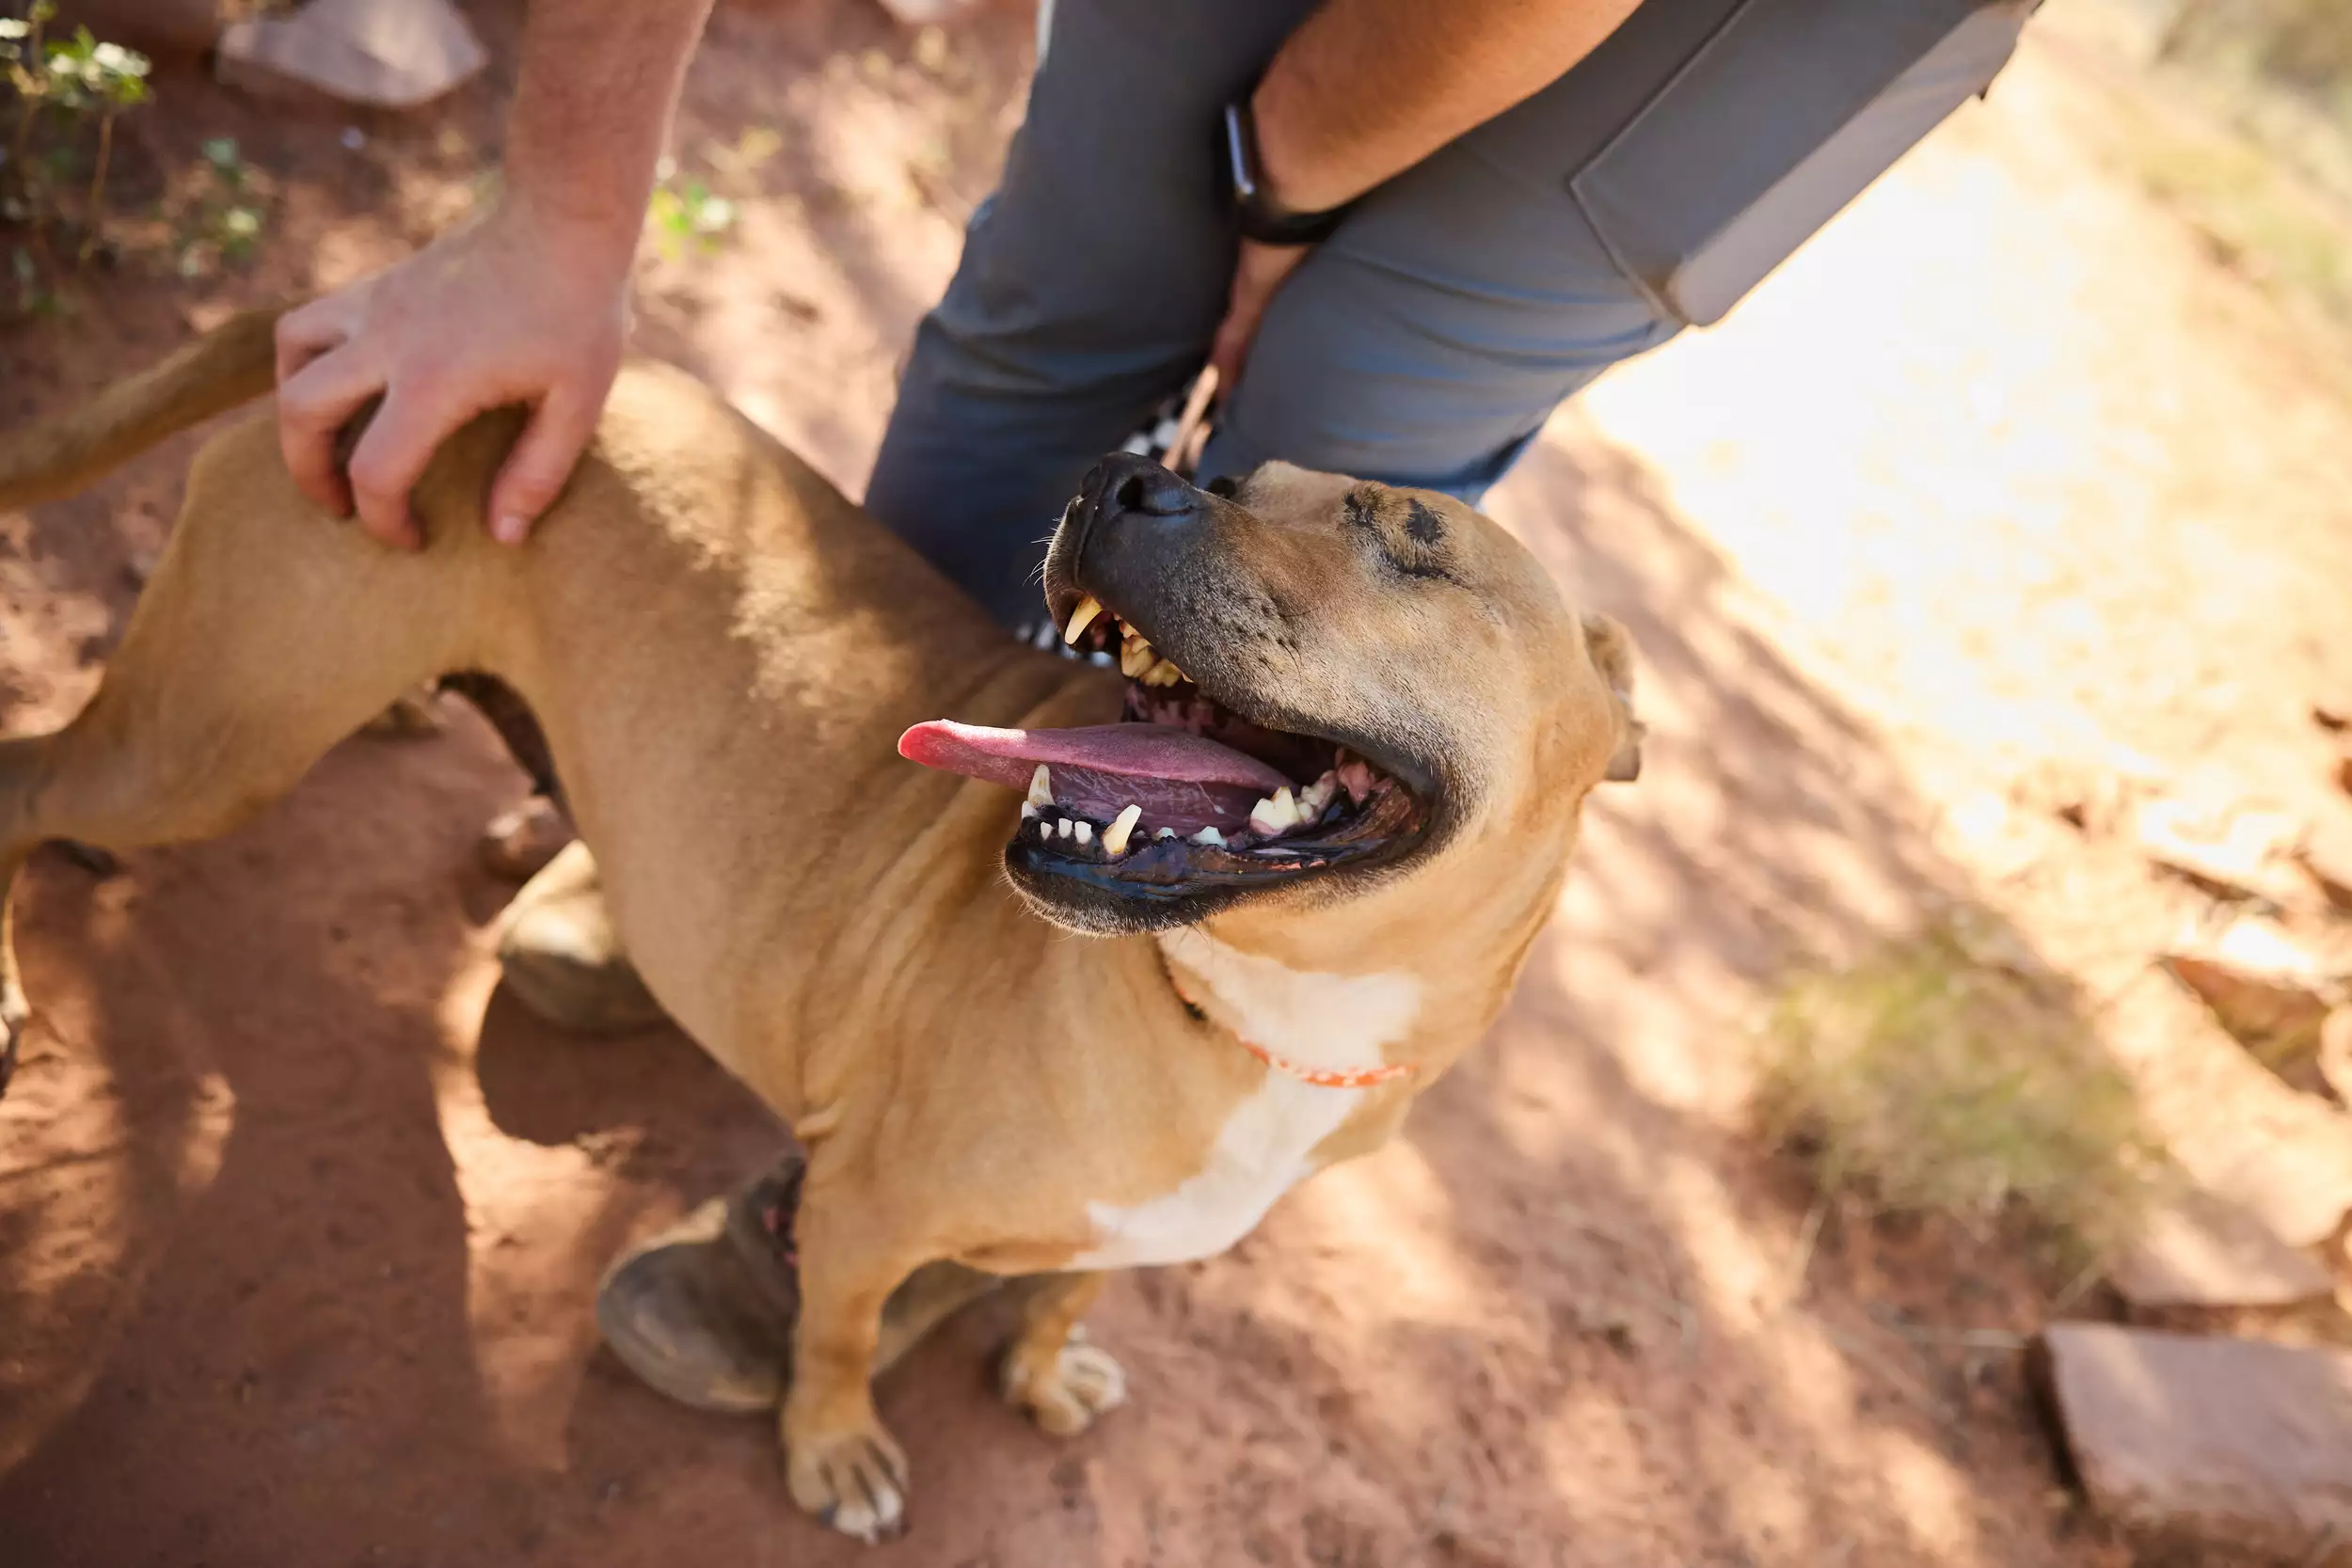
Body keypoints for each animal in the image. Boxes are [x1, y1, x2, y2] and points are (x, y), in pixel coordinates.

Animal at [0, 312, 1637, 1542]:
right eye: (1235, 471)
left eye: (1410, 542)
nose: (1122, 480)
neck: (1252, 1021)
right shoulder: (864, 1212)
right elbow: (840, 1332)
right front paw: (831, 1445)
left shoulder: (1143, 1225)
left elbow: (1064, 1286)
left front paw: (1040, 1367)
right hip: (211, 740)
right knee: (31, 772)